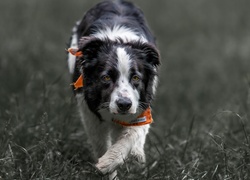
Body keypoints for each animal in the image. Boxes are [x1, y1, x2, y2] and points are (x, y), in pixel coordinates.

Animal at [67, 0, 160, 178]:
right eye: (106, 77)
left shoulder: (141, 104)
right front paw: (106, 169)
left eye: (136, 78)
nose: (124, 104)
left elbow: (131, 134)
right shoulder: (89, 111)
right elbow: (101, 143)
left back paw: (138, 155)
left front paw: (110, 162)